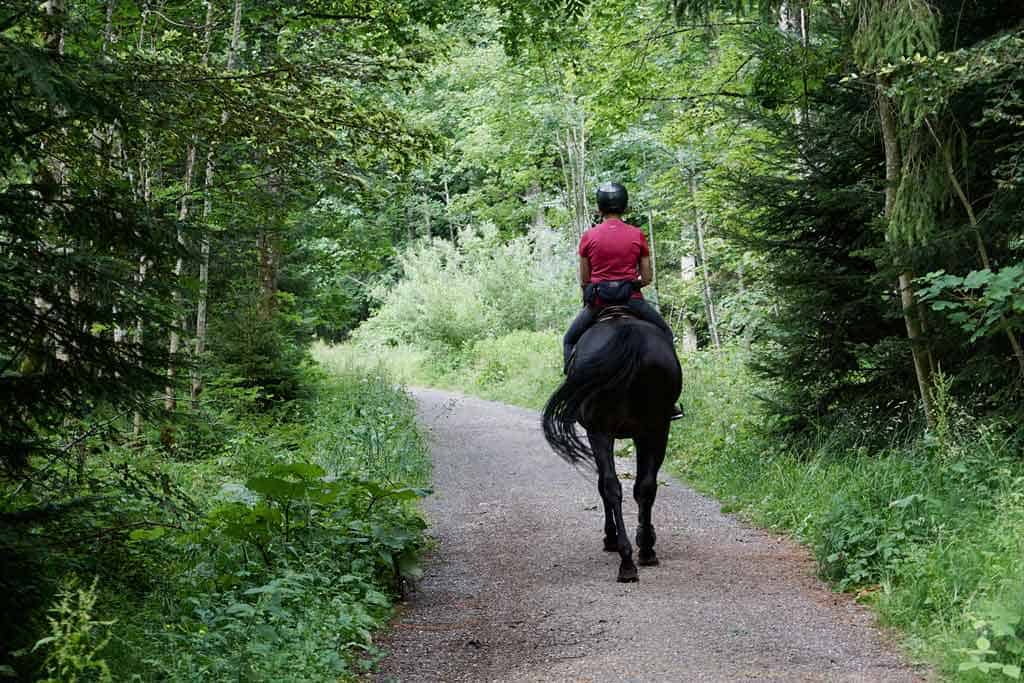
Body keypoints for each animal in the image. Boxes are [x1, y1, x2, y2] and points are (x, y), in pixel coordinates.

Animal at [540, 309, 684, 581]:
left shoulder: (598, 432)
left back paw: (625, 555)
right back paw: (643, 551)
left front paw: (611, 537)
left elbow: (602, 484)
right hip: (656, 428)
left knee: (611, 486)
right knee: (644, 486)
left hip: (602, 431)